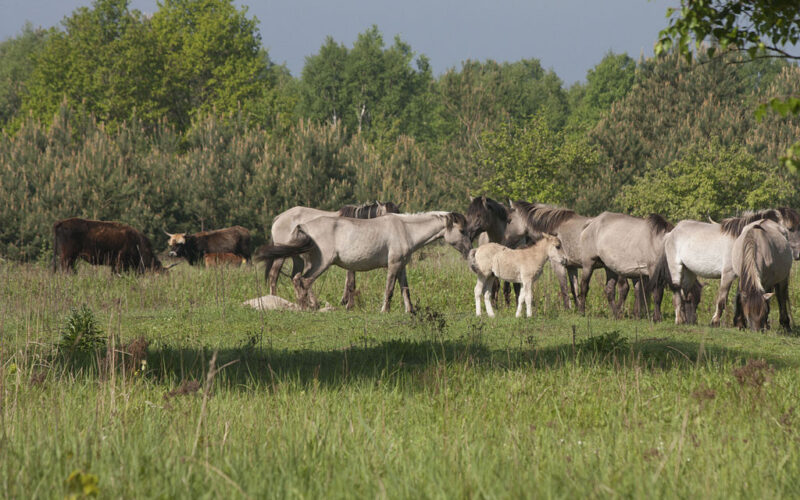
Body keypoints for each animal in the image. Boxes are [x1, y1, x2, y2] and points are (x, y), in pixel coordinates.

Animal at [253, 211, 472, 312]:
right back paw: (306, 307)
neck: (405, 229)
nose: (470, 251)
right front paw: (384, 310)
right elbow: (389, 289)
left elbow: (405, 290)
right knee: (304, 281)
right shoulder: (393, 265)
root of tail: (303, 226)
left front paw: (410, 311)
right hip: (321, 263)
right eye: (462, 231)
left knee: (297, 279)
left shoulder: (401, 266)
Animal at [262, 200, 400, 308]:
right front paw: (349, 304)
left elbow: (349, 280)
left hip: (298, 258)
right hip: (282, 255)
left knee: (295, 278)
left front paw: (345, 301)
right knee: (274, 275)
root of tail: (278, 218)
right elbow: (351, 281)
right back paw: (276, 299)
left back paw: (307, 302)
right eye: (385, 217)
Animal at [652, 206, 796, 326]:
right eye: (790, 229)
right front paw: (715, 321)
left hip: (689, 273)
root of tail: (671, 232)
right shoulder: (728, 275)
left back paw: (686, 320)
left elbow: (738, 297)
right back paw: (679, 320)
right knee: (676, 291)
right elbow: (722, 299)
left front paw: (739, 323)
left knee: (684, 294)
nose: (794, 252)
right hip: (676, 268)